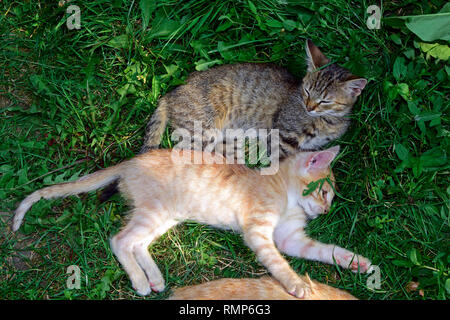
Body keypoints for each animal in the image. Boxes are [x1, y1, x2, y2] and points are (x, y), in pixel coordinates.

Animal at [14, 146, 372, 298]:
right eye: (323, 192)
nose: (324, 212)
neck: (284, 194)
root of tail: (130, 162)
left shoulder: (290, 238)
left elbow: (323, 250)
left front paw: (354, 262)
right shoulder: (258, 231)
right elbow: (278, 263)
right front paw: (296, 283)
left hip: (163, 216)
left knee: (137, 243)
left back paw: (155, 278)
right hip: (155, 211)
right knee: (120, 240)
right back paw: (140, 281)